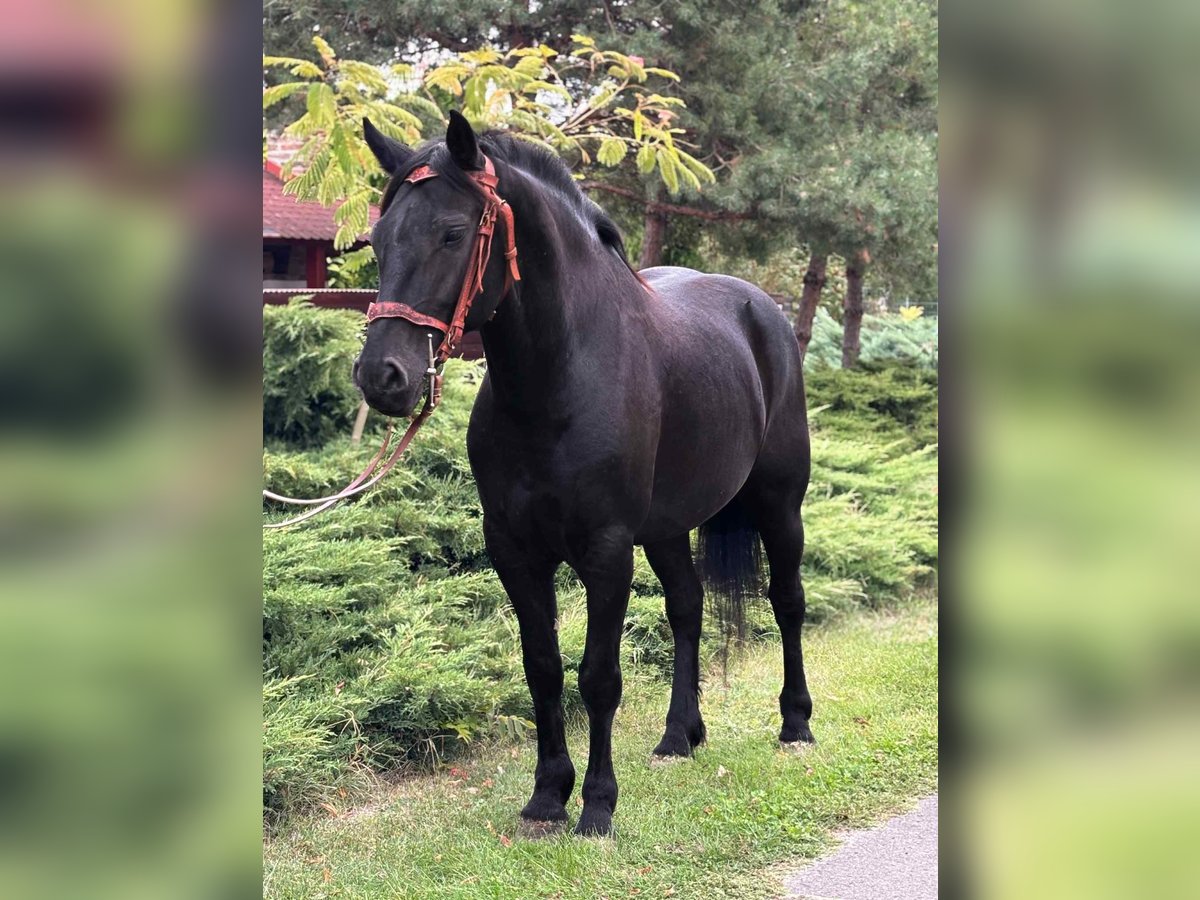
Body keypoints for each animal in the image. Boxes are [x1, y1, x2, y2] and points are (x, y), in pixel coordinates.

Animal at [354, 112, 814, 837]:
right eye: (377, 240)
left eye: (453, 233)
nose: (383, 376)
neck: (558, 379)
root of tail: (759, 307)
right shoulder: (515, 550)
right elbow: (542, 668)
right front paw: (547, 795)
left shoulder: (606, 550)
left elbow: (599, 676)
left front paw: (597, 805)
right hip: (667, 527)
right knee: (688, 608)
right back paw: (678, 736)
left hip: (779, 503)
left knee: (787, 602)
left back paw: (796, 726)